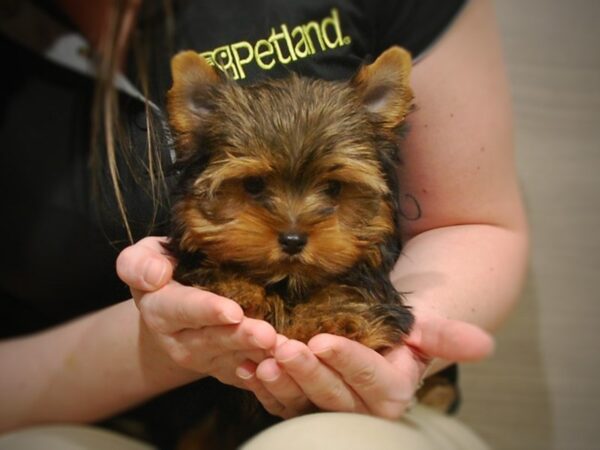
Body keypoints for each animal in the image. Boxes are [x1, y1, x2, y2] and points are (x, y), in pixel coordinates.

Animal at [165, 46, 418, 450]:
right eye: (253, 185)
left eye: (333, 188)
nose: (294, 239)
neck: (288, 282)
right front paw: (236, 287)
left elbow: (347, 288)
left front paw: (334, 316)